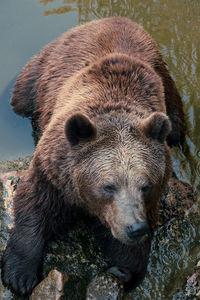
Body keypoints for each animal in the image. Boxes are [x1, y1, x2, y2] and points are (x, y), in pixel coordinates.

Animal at [1, 17, 186, 296]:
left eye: (145, 185)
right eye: (108, 186)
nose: (135, 228)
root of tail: (114, 19)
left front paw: (124, 269)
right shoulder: (53, 171)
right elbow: (34, 205)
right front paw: (20, 275)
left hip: (168, 87)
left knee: (177, 126)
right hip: (40, 74)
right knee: (19, 98)